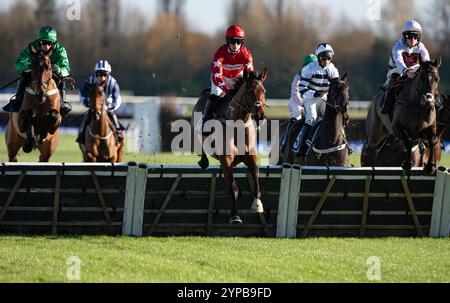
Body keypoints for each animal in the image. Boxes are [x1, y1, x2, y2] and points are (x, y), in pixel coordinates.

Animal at [191, 69, 268, 226]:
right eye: (249, 91)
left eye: (263, 90)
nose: (260, 115)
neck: (238, 125)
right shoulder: (226, 160)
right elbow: (233, 190)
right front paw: (235, 216)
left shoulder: (251, 158)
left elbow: (256, 182)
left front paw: (257, 205)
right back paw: (203, 161)